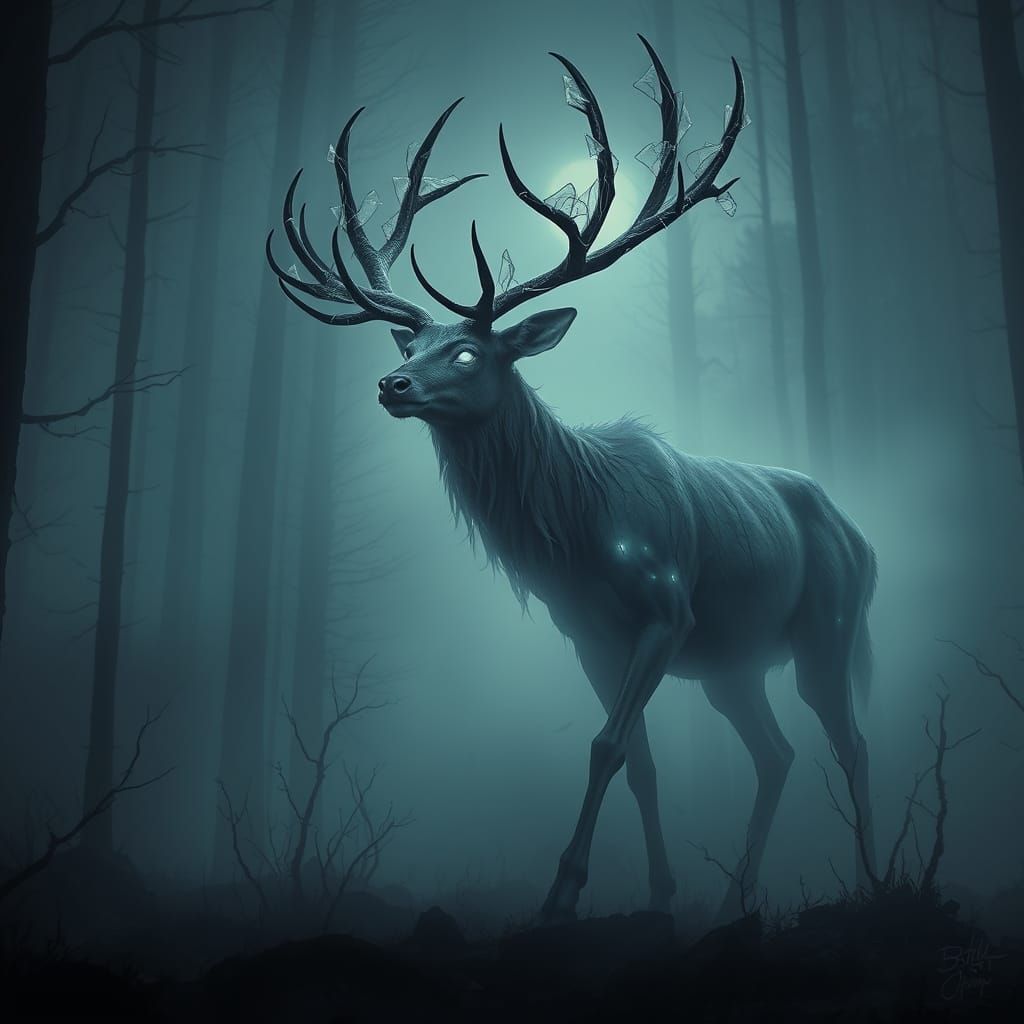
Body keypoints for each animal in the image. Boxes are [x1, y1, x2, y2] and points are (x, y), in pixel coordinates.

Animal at [267, 35, 878, 923]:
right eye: (410, 347)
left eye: (466, 352)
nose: (392, 384)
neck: (582, 535)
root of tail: (863, 537)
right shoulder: (588, 635)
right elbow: (640, 762)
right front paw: (657, 898)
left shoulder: (668, 609)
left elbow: (606, 745)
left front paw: (559, 896)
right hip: (733, 666)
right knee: (776, 753)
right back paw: (736, 897)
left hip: (827, 625)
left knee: (849, 741)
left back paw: (874, 878)